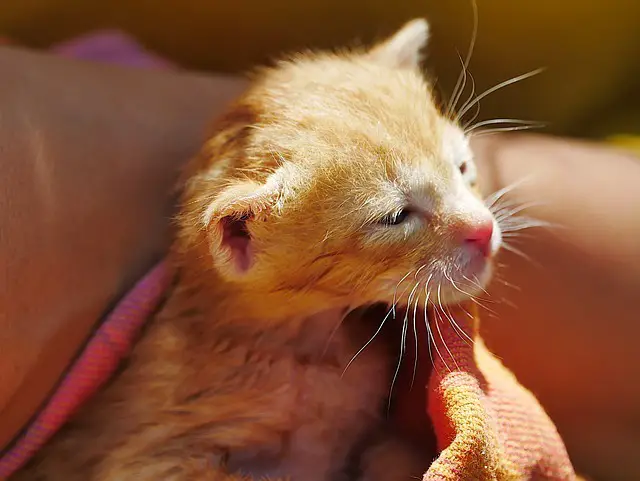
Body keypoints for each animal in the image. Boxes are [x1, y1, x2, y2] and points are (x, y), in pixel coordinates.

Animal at [13, 18, 500, 480]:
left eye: (462, 167)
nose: (483, 229)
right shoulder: (147, 456)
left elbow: (393, 456)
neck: (308, 349)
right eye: (396, 217)